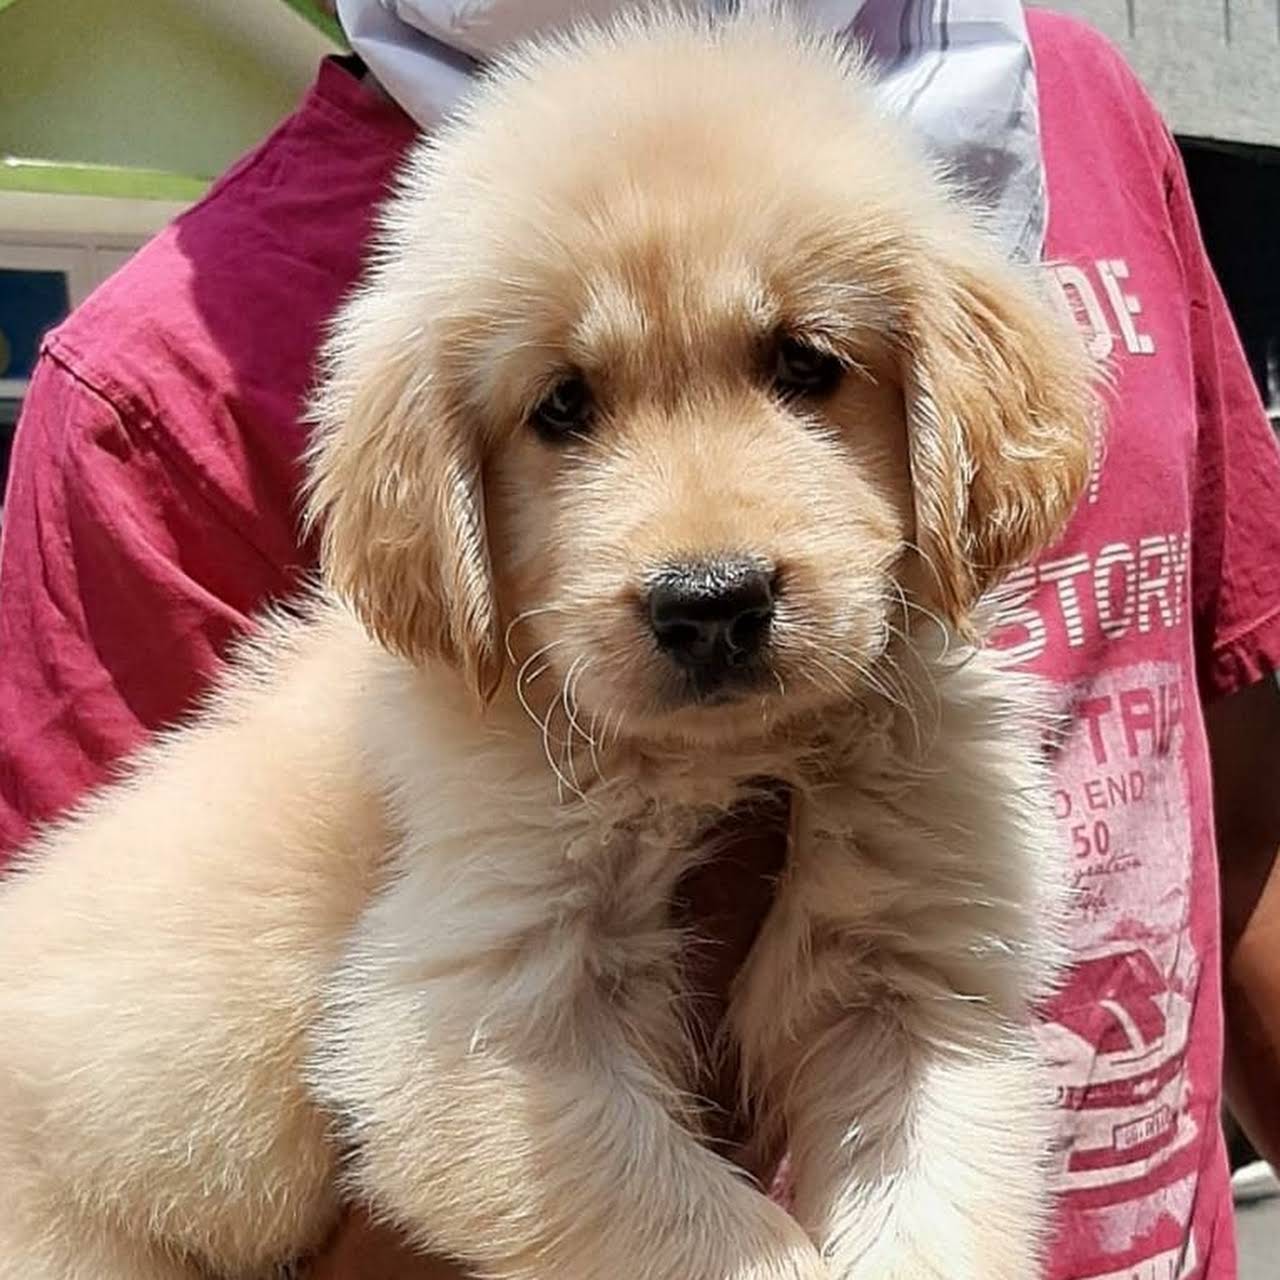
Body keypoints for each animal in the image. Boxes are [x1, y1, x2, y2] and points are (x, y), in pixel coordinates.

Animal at [0, 10, 1095, 1280]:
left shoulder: (911, 979)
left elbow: (928, 1204)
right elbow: (708, 1226)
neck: (719, 759)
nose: (709, 602)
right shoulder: (472, 1019)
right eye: (561, 406)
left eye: (803, 362)